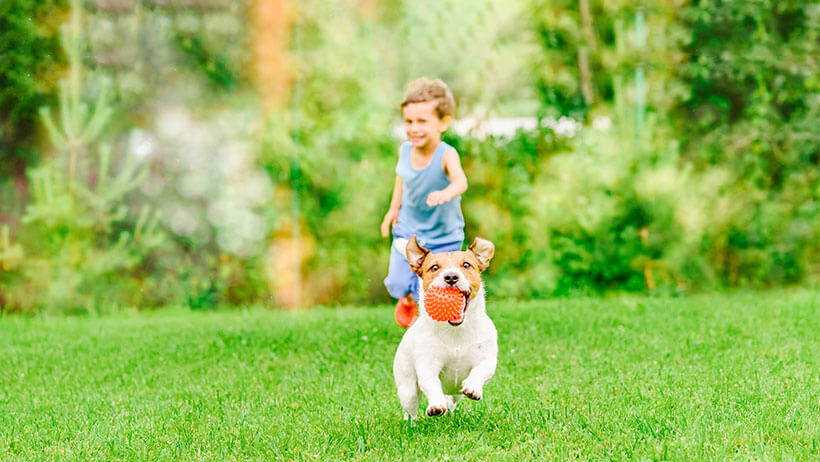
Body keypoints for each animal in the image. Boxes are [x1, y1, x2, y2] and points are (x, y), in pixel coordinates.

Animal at [392, 235, 496, 418]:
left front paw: (473, 388)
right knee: (410, 410)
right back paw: (411, 422)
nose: (451, 276)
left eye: (466, 265)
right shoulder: (427, 365)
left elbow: (481, 369)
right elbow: (431, 383)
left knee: (452, 399)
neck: (455, 331)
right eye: (434, 267)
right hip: (407, 388)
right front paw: (436, 405)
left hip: (455, 393)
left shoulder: (488, 357)